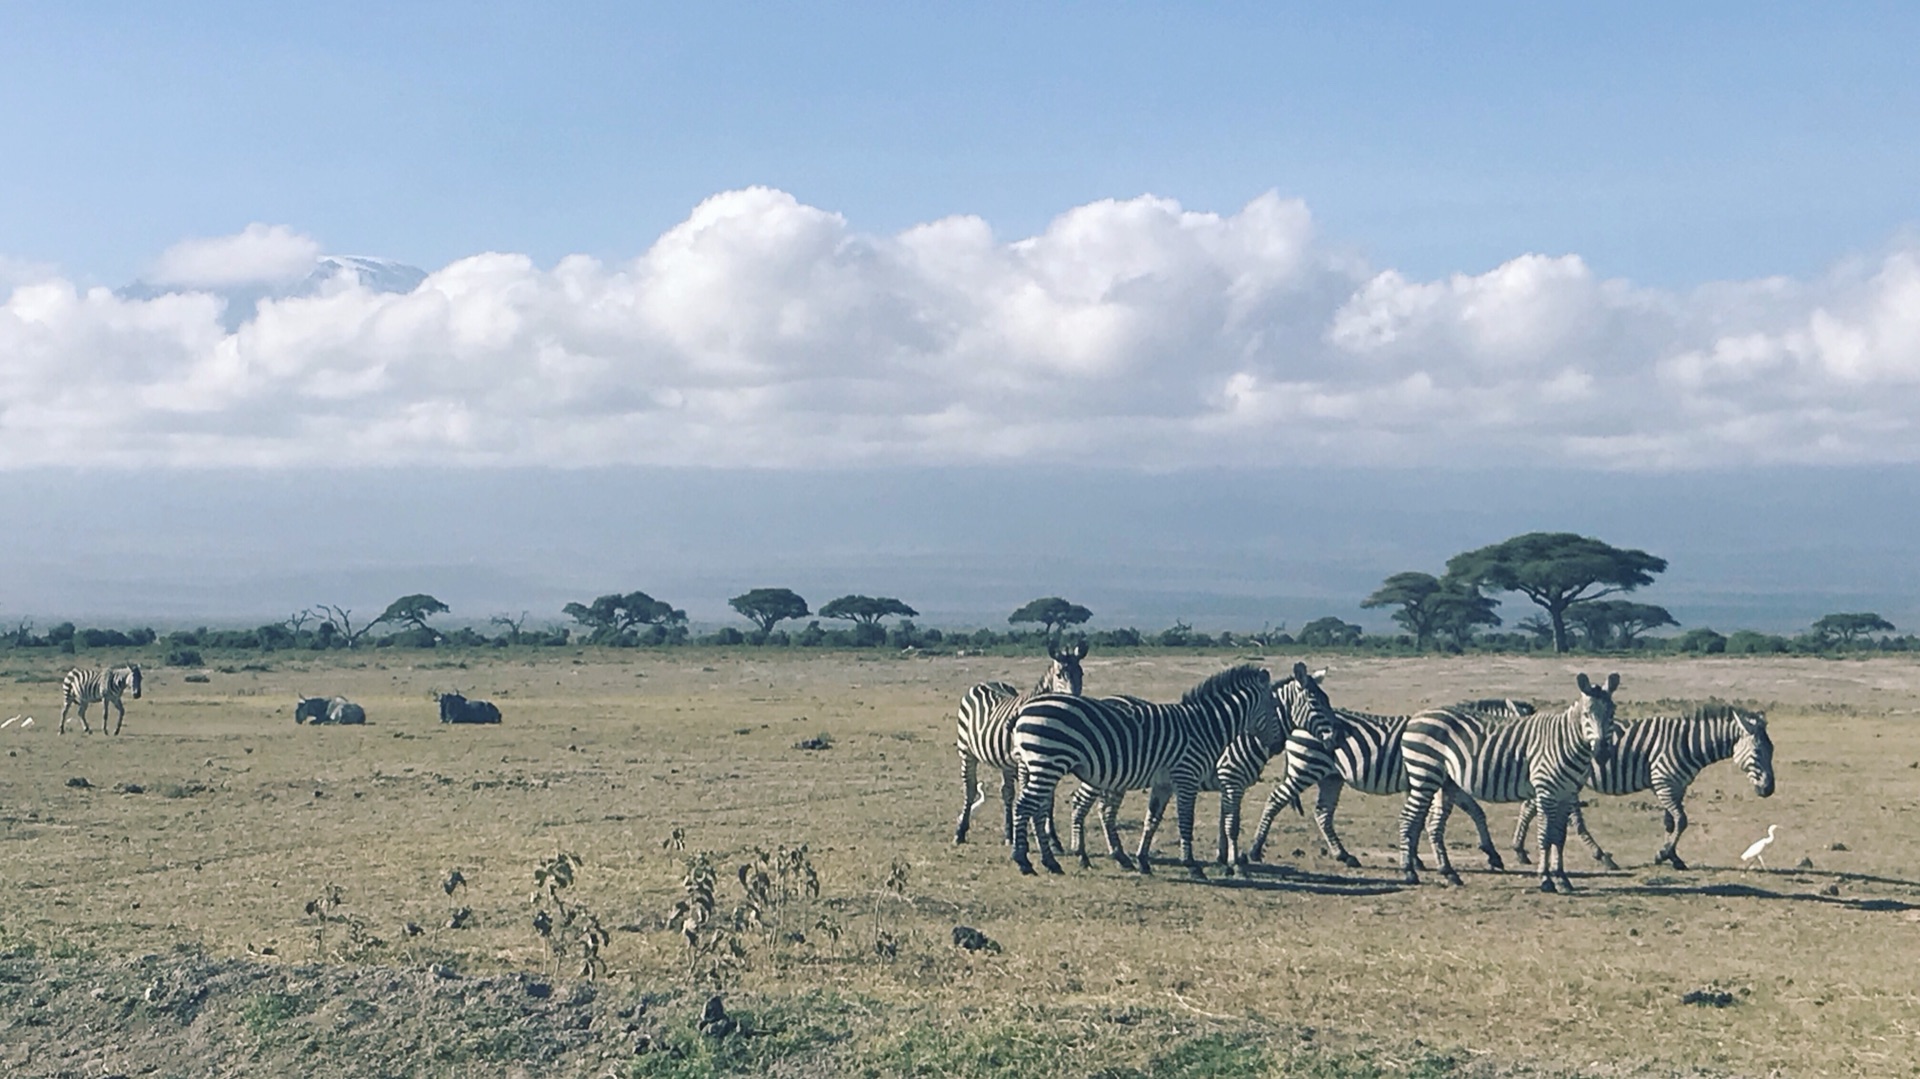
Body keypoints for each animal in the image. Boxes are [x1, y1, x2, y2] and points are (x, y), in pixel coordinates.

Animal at [952, 637, 1090, 840]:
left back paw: (1009, 832)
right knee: (970, 789)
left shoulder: (1050, 762)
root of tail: (986, 682)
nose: (1076, 703)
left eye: (1081, 673)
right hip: (966, 751)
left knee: (1007, 792)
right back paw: (961, 832)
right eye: (1059, 675)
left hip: (1005, 761)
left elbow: (1048, 799)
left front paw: (1051, 835)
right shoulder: (1026, 763)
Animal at [1013, 660, 1344, 879]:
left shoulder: (1172, 783)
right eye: (1316, 703)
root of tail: (1024, 710)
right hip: (1054, 764)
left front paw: (1148, 861)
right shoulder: (1200, 778)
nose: (1338, 739)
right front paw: (1204, 865)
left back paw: (1064, 860)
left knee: (1050, 807)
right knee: (1034, 805)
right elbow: (1200, 821)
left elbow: (1157, 820)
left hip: (1051, 767)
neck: (1208, 727)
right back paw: (1030, 860)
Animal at [1244, 691, 1543, 867]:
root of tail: (1296, 724)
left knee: (1323, 814)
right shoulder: (1439, 784)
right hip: (1305, 768)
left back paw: (1344, 855)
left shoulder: (1443, 785)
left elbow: (1473, 812)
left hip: (1331, 777)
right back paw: (1256, 849)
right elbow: (1452, 815)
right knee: (1275, 800)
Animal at [1397, 671, 1620, 890]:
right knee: (1408, 818)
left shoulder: (1567, 793)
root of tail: (1415, 717)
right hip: (1424, 775)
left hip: (1445, 783)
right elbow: (1545, 835)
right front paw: (1546, 879)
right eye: (1586, 714)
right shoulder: (1546, 791)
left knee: (1434, 825)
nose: (1602, 753)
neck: (1565, 742)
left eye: (1612, 713)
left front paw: (1562, 878)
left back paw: (1449, 873)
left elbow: (1559, 836)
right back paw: (1409, 871)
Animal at [1505, 702, 1774, 867]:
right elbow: (1682, 821)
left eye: (1772, 750)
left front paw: (1673, 857)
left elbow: (1670, 822)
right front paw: (1663, 854)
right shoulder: (1664, 782)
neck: (1688, 743)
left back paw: (1519, 850)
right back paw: (1602, 857)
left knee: (1529, 807)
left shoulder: (1674, 787)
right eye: (1758, 752)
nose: (1769, 789)